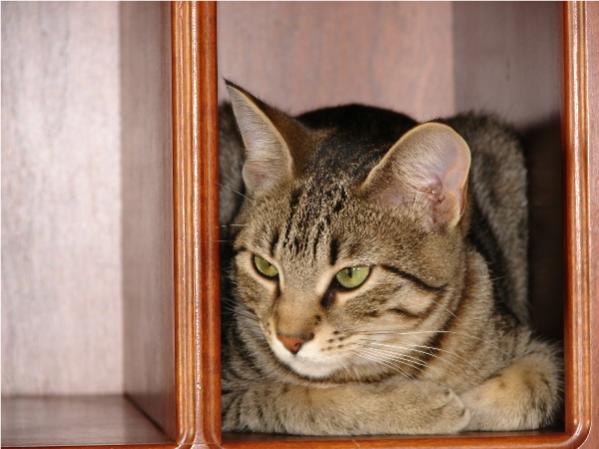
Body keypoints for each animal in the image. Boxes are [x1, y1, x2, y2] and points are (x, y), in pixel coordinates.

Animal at [217, 80, 564, 434]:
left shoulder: (536, 351)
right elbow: (299, 398)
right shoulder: (227, 395)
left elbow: (530, 391)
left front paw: (469, 403)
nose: (289, 340)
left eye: (351, 276)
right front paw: (417, 407)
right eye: (265, 267)